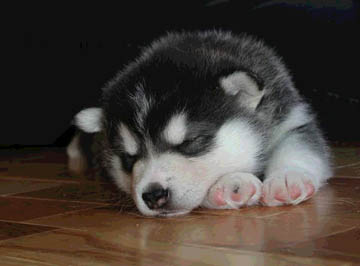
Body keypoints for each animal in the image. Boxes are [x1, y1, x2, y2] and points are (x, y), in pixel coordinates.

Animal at [67, 30, 332, 216]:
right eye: (128, 158)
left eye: (190, 141)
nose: (153, 195)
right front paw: (232, 184)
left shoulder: (290, 117)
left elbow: (298, 146)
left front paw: (287, 179)